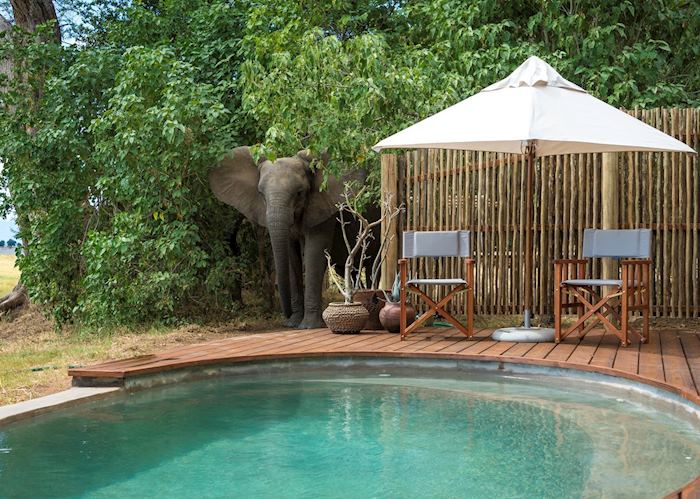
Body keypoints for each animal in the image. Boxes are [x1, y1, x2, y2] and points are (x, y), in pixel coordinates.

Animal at [208, 146, 364, 330]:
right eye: (261, 194)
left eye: (299, 193)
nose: (286, 314)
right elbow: (290, 254)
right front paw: (293, 323)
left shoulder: (323, 204)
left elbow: (314, 250)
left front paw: (308, 326)